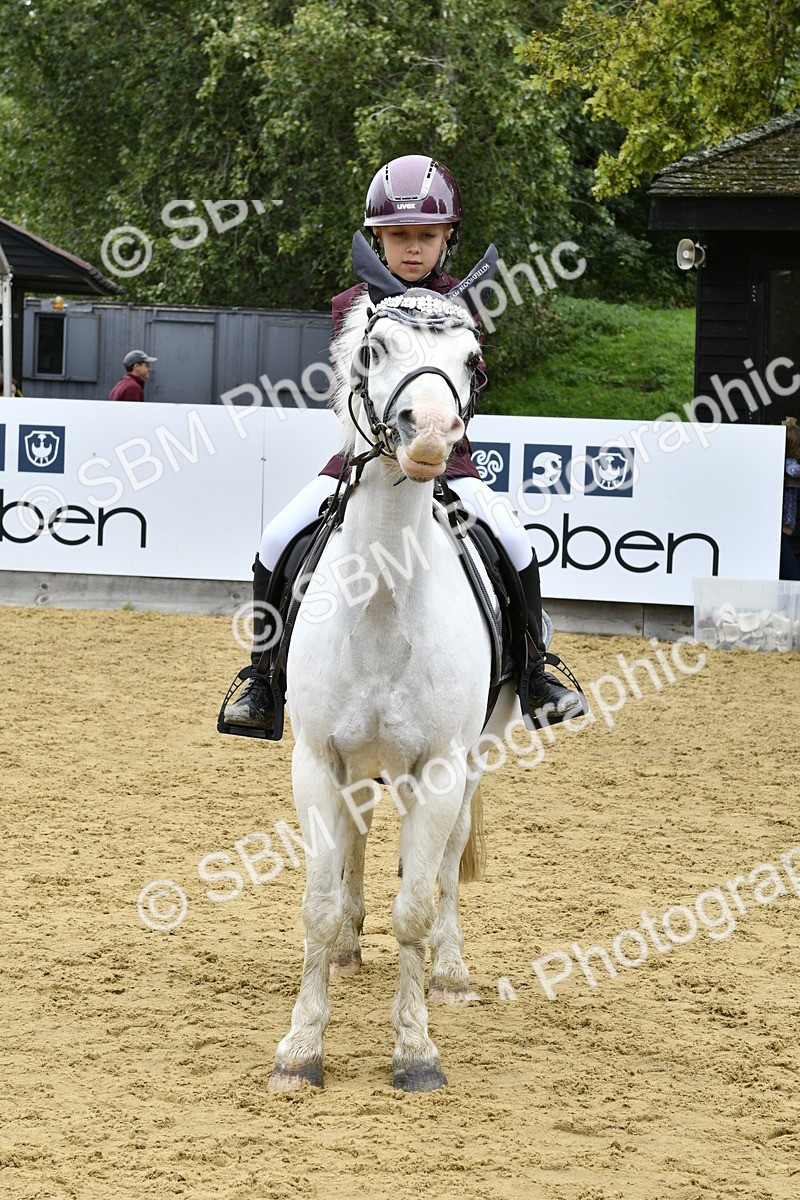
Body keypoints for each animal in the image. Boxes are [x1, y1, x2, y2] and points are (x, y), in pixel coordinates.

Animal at [268, 236, 508, 1093]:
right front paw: (301, 1049)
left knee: (444, 865)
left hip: (472, 758)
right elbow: (316, 900)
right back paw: (347, 948)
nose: (431, 435)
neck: (381, 605)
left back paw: (453, 971)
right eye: (374, 350)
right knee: (358, 838)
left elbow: (417, 904)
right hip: (360, 765)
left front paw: (415, 1051)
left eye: (473, 362)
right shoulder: (316, 758)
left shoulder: (438, 767)